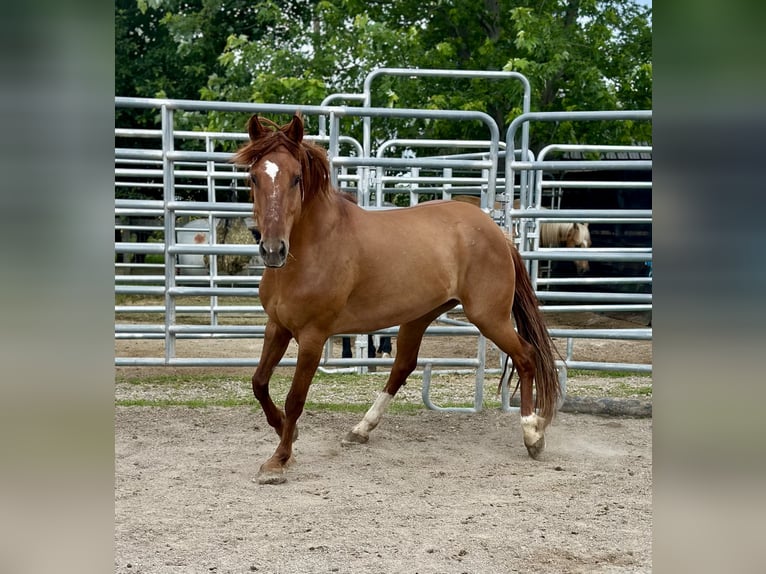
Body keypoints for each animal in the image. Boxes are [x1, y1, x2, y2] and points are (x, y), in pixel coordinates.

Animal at [231, 112, 560, 486]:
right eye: (254, 177)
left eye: (296, 178)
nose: (273, 250)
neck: (312, 249)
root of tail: (497, 231)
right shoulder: (277, 326)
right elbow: (259, 383)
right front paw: (285, 431)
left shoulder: (313, 337)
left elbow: (295, 399)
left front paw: (278, 461)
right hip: (420, 315)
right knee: (403, 366)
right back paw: (360, 430)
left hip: (490, 317)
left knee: (527, 356)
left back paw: (533, 434)